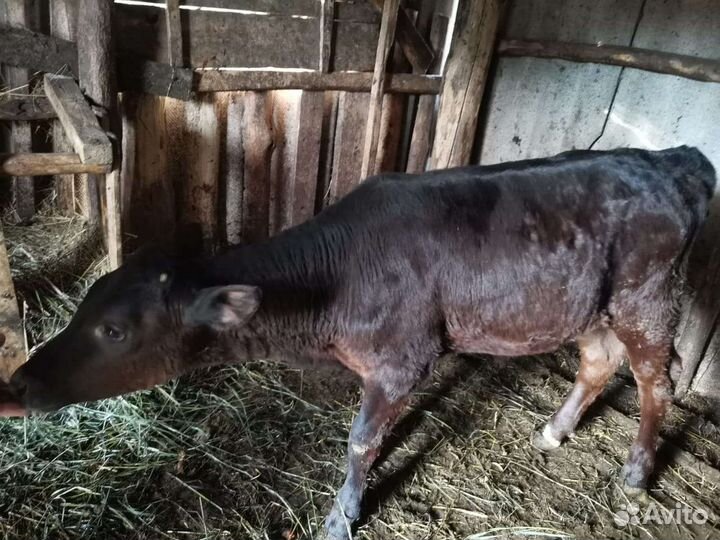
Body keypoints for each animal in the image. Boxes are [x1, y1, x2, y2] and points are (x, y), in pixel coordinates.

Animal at [4, 146, 716, 540]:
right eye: (86, 306)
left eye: (114, 329)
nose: (18, 384)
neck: (332, 286)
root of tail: (668, 160)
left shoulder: (402, 361)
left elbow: (360, 441)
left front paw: (341, 516)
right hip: (592, 305)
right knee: (597, 364)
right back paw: (554, 429)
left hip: (648, 297)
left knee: (657, 380)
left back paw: (635, 471)